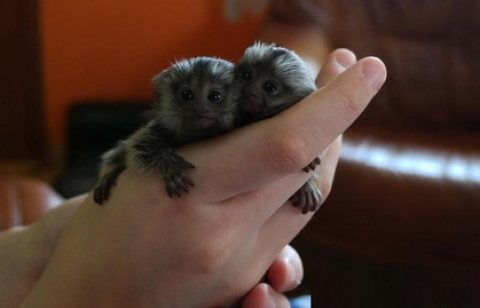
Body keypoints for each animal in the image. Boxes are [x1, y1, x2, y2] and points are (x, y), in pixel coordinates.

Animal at [93, 57, 235, 205]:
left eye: (215, 96)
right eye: (187, 95)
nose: (200, 108)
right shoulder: (156, 129)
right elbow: (137, 148)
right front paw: (169, 164)